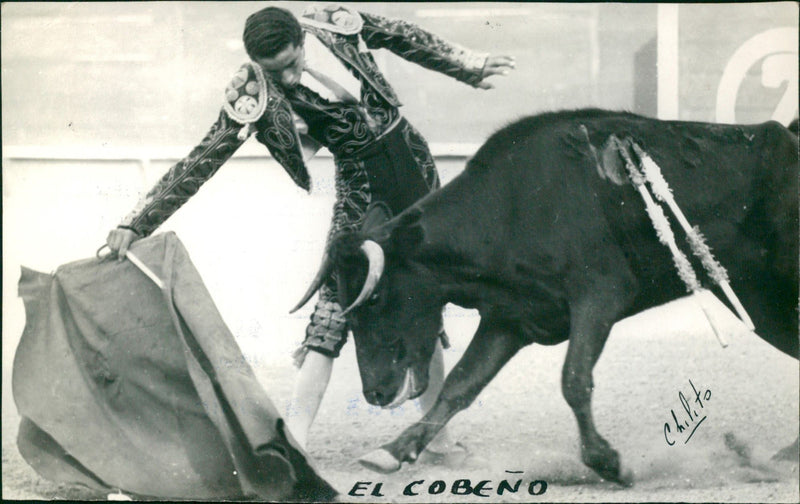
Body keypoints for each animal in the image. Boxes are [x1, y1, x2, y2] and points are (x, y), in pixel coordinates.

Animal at [294, 109, 800, 484]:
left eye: (374, 300)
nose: (375, 393)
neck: (509, 209)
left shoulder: (599, 296)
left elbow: (573, 378)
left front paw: (609, 463)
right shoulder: (509, 319)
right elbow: (460, 386)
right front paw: (392, 451)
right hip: (763, 302)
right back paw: (786, 455)